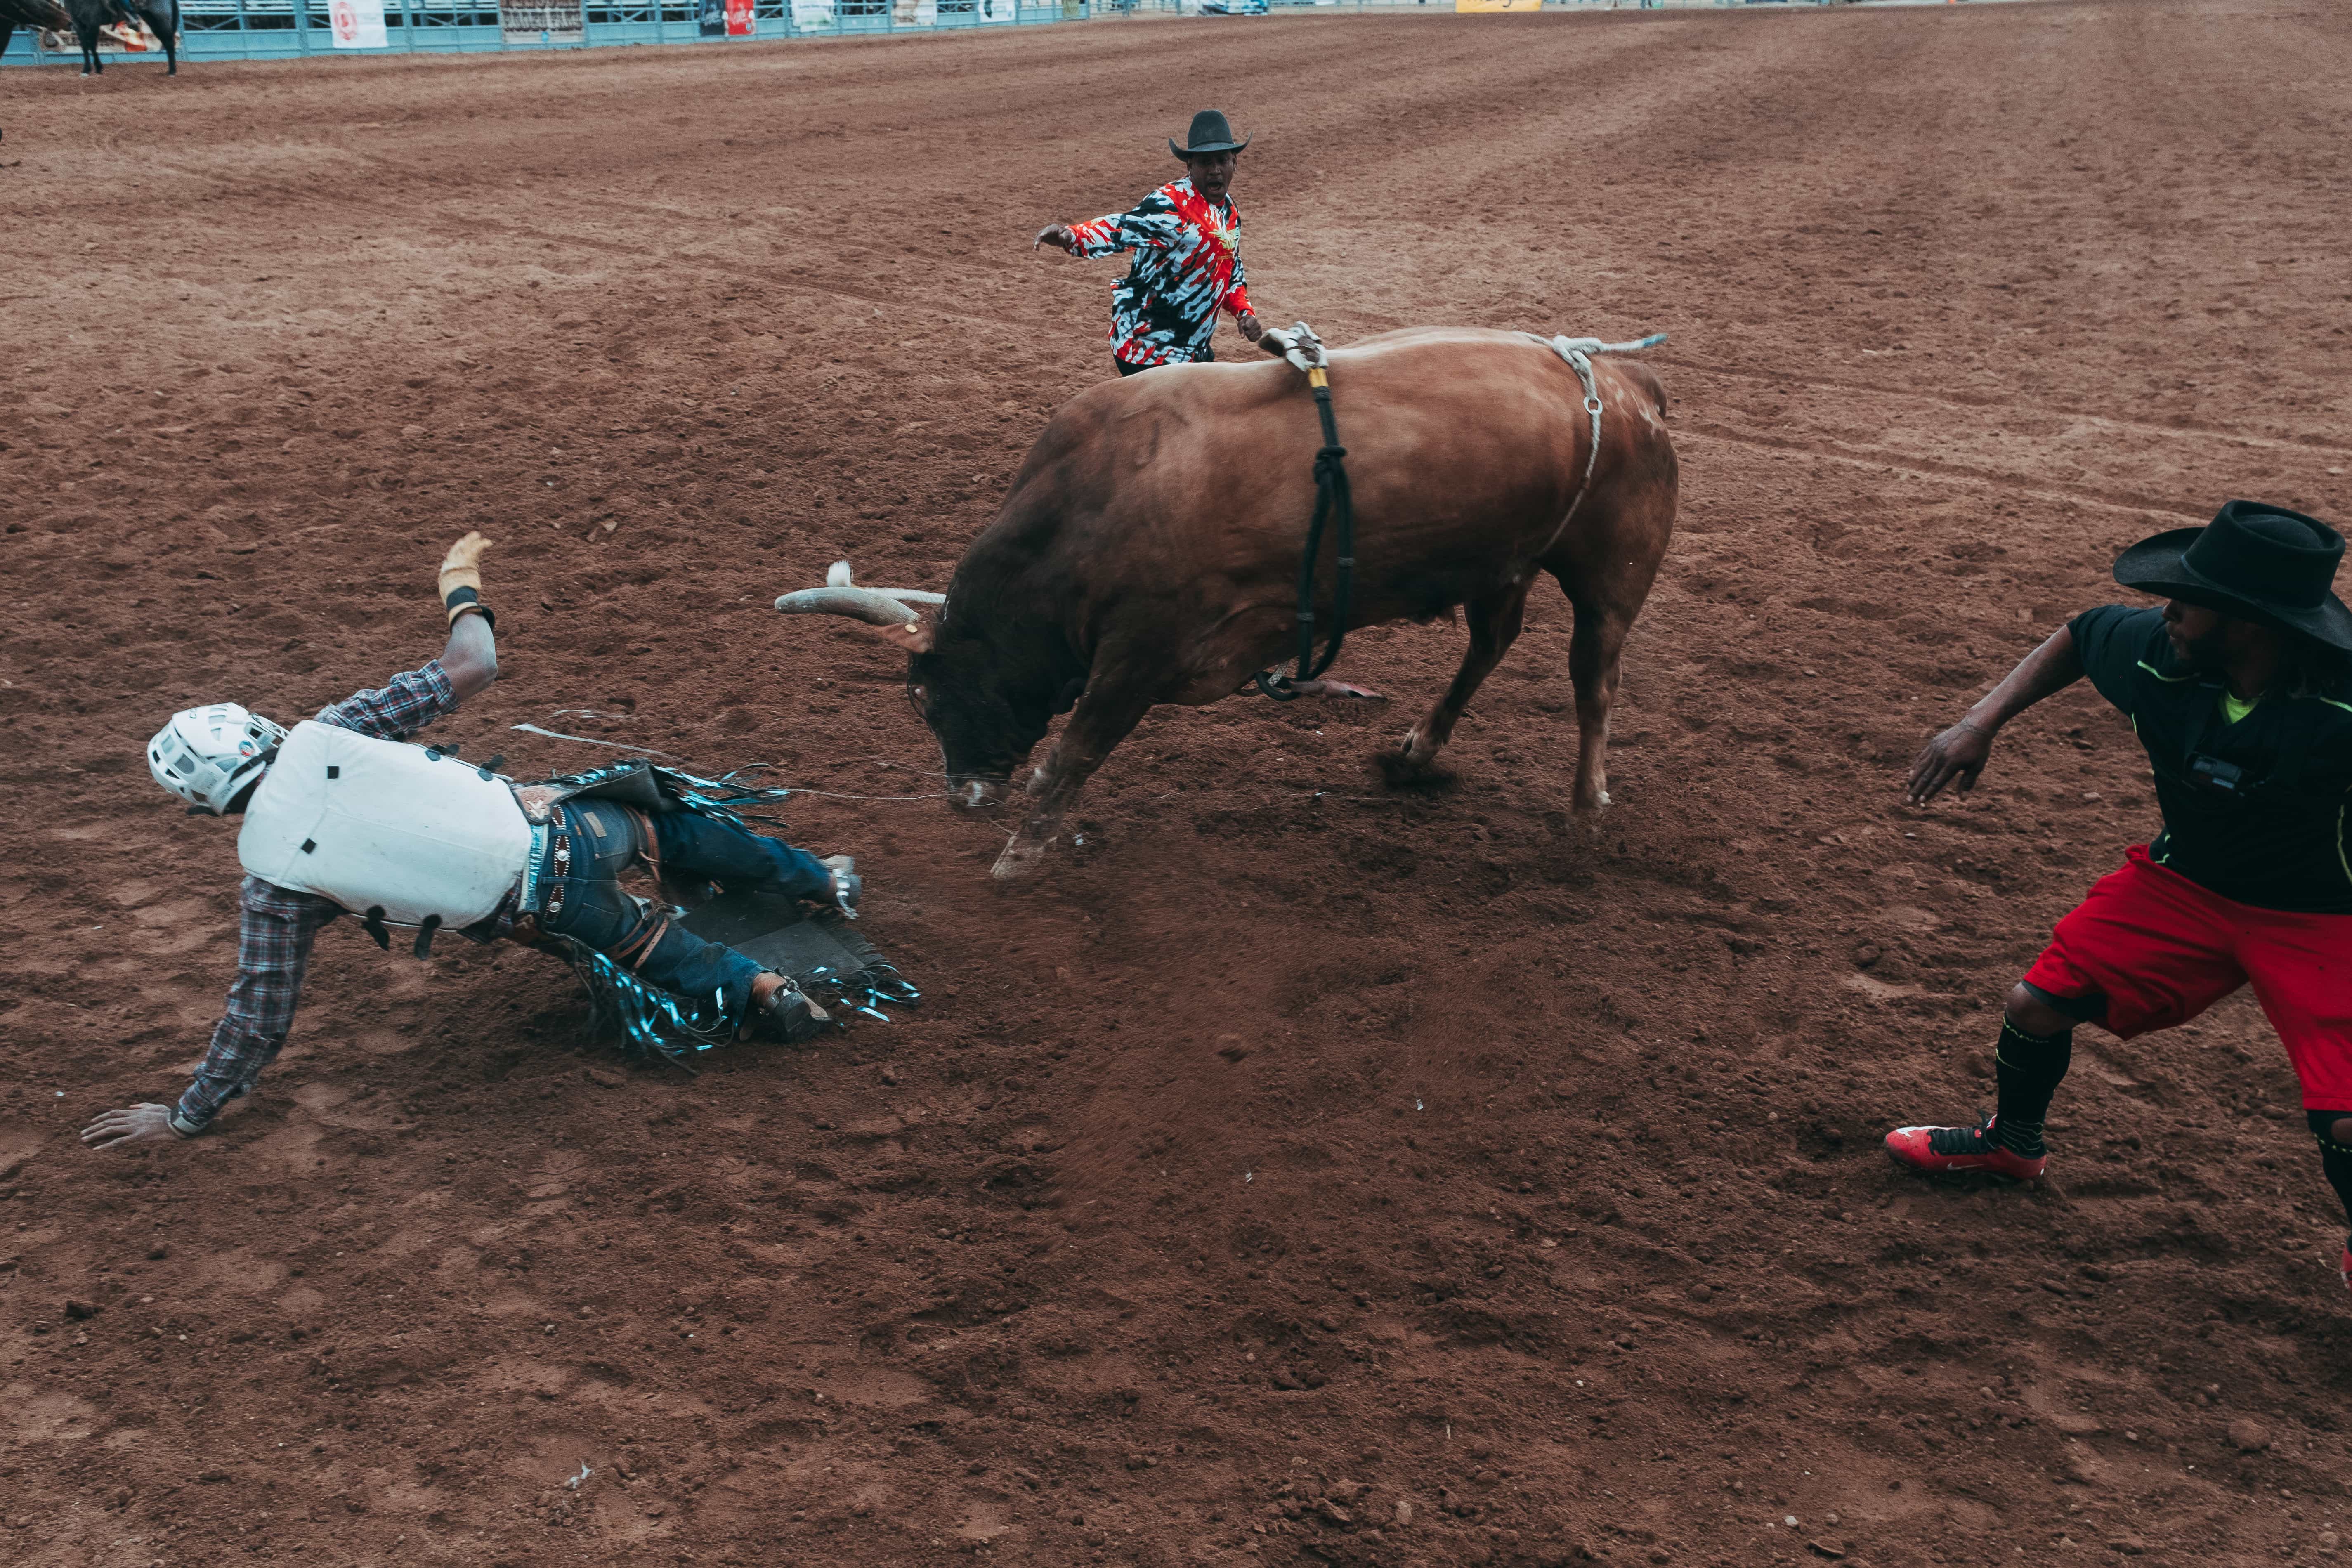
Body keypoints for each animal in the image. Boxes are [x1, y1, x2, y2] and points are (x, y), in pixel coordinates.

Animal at [781, 324, 1684, 879]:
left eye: (926, 700)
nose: (961, 796)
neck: (1096, 505)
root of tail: (1625, 380)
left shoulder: (1137, 657)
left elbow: (1072, 755)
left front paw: (1020, 853)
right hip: (1505, 562)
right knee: (1492, 642)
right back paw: (1414, 753)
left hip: (1611, 570)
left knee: (1593, 678)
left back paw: (1584, 809)